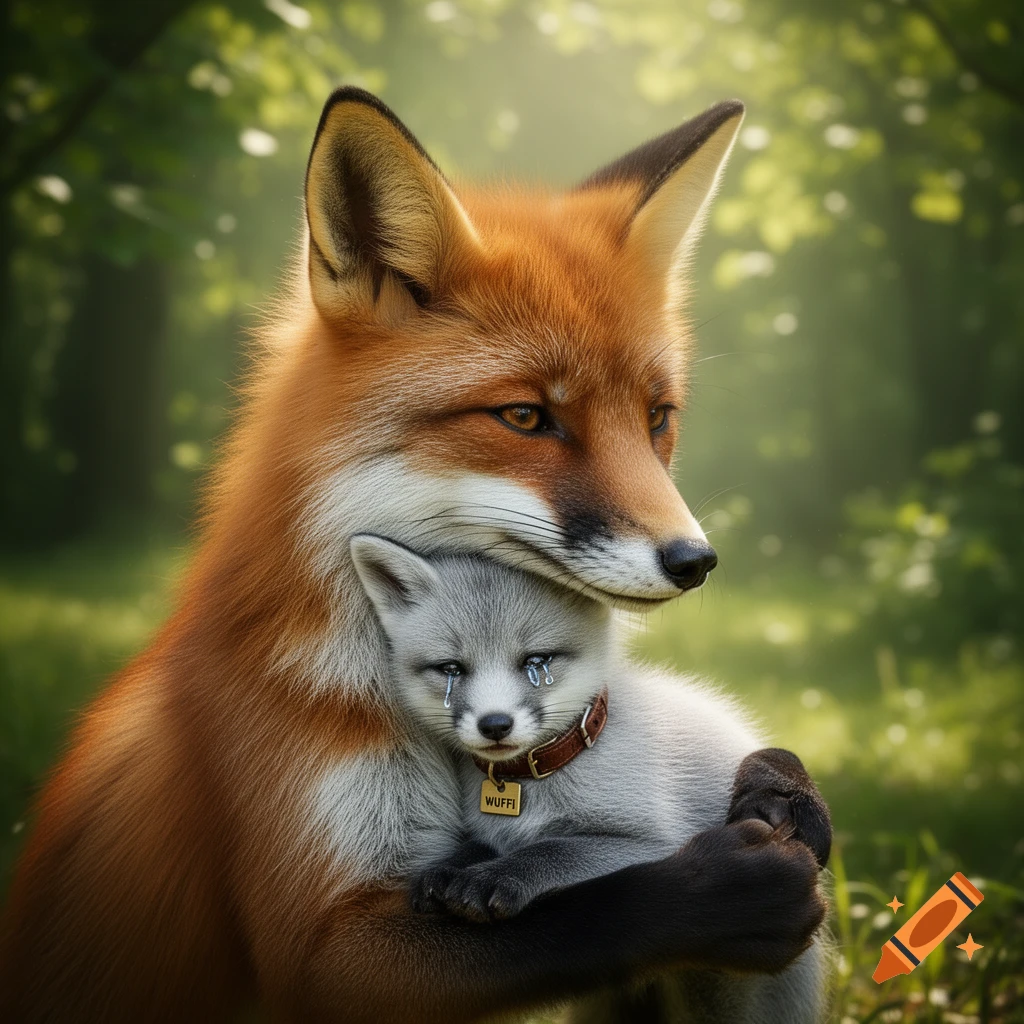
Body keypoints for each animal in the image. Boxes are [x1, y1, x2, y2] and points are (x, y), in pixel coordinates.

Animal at [350, 535, 831, 1023]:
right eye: (451, 669)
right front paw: (449, 869)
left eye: (537, 662)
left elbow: (556, 850)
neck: (538, 783)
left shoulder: (655, 840)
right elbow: (478, 847)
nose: (495, 725)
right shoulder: (492, 830)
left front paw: (495, 877)